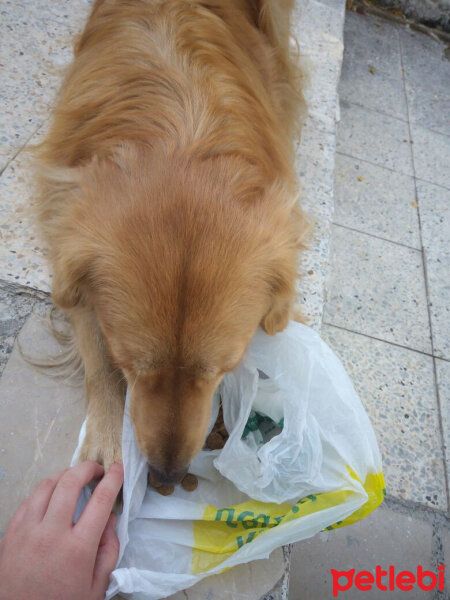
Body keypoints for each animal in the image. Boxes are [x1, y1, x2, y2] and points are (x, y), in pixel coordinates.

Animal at [37, 0, 308, 488]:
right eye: (128, 363)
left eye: (225, 368)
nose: (168, 472)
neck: (182, 138)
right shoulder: (65, 240)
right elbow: (94, 354)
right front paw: (106, 439)